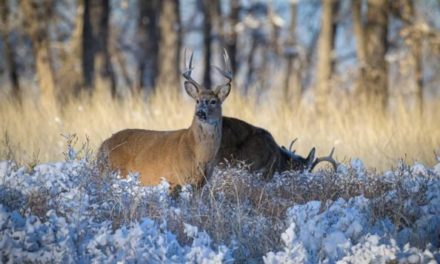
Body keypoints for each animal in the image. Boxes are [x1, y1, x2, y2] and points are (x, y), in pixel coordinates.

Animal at [97, 50, 232, 188]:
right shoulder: (174, 179)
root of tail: (102, 147)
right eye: (197, 101)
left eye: (213, 101)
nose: (200, 113)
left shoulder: (200, 184)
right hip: (114, 172)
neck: (198, 154)